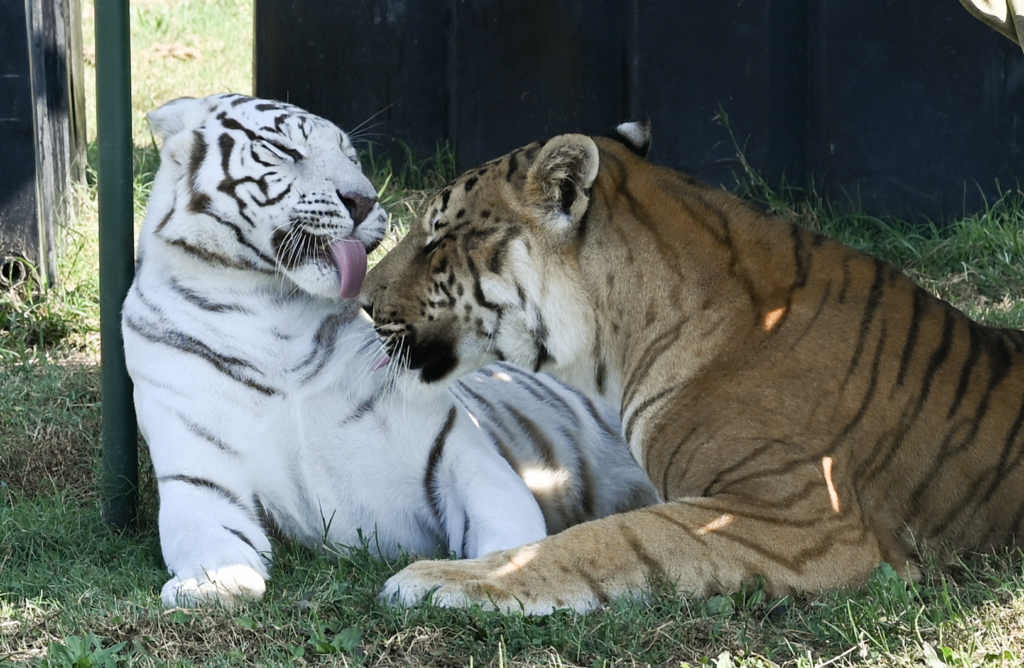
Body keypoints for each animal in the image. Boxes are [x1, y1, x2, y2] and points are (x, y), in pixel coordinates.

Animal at [121, 93, 655, 610]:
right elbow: (209, 539)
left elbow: (506, 521)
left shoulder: (451, 446)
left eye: (352, 156)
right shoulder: (199, 475)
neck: (273, 312)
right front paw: (213, 584)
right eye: (284, 150)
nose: (363, 200)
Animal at [364, 122, 1024, 614]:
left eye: (436, 238)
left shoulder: (807, 519)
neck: (619, 343)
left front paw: (444, 578)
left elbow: (612, 539)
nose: (364, 301)